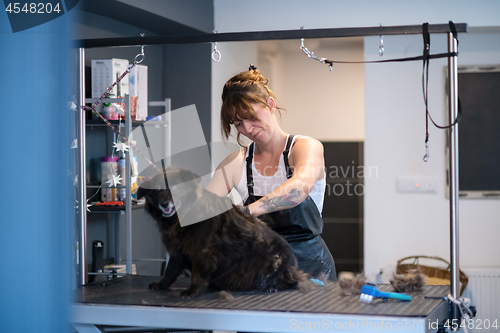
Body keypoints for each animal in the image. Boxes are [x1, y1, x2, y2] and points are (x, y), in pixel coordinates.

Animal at [136, 165, 308, 296]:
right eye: (156, 190)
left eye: (175, 188)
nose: (164, 204)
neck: (181, 217)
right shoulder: (178, 251)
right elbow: (170, 270)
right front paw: (162, 285)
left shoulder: (204, 253)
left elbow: (196, 274)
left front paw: (192, 291)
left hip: (273, 261)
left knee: (292, 281)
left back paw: (273, 286)